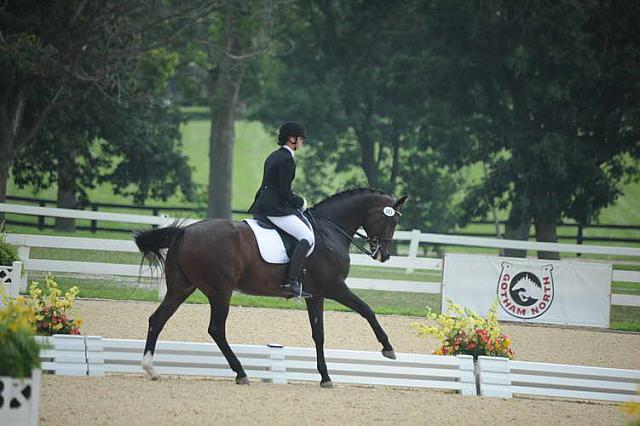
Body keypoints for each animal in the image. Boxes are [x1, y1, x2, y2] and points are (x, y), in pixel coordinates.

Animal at [134, 188, 410, 388]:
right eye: (392, 221)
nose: (384, 255)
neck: (330, 231)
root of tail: (184, 232)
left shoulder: (316, 296)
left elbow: (319, 335)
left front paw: (325, 377)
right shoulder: (335, 288)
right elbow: (367, 310)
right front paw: (388, 348)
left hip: (181, 288)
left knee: (157, 319)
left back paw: (151, 369)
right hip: (220, 290)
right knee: (216, 329)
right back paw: (241, 373)